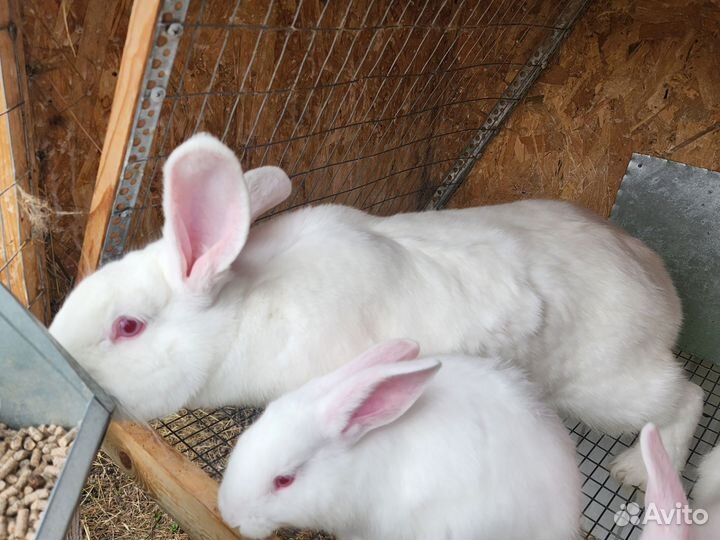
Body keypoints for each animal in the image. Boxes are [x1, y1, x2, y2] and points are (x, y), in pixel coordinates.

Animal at [48, 132, 703, 487]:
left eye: (128, 327)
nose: (60, 352)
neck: (250, 308)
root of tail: (661, 282)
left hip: (604, 385)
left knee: (683, 397)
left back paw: (639, 470)